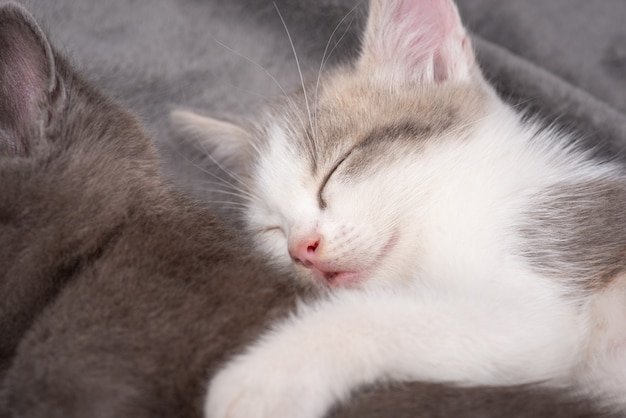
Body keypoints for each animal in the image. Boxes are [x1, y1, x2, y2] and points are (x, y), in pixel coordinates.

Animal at [173, 0, 624, 414]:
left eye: (336, 167)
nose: (302, 248)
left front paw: (267, 374)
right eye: (271, 229)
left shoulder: (547, 289)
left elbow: (386, 314)